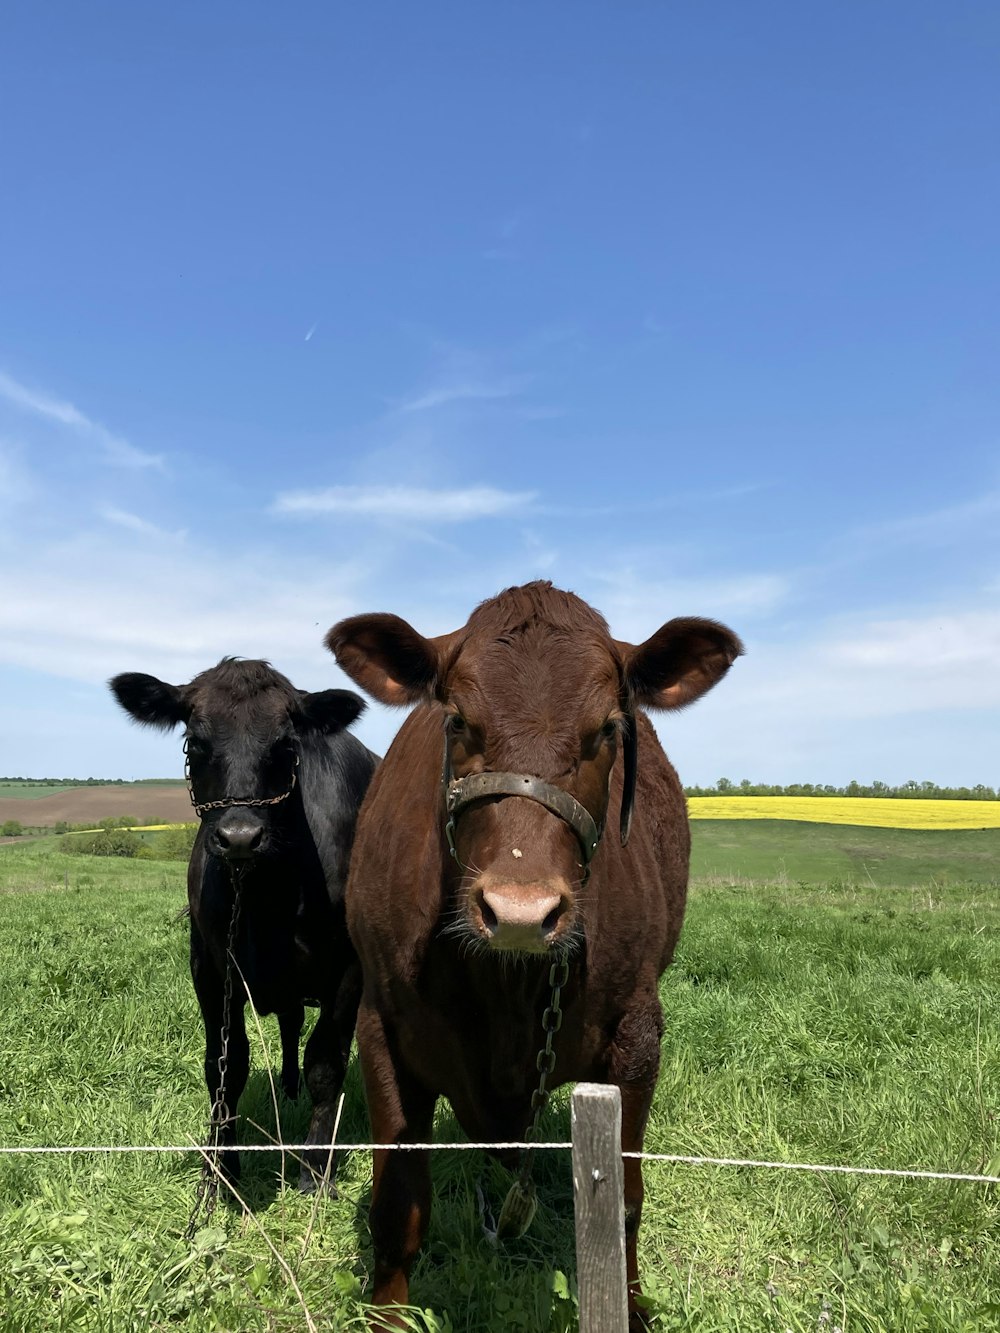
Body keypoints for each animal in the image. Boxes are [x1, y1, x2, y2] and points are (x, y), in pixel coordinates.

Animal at [108, 655, 376, 1189]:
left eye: (286, 745)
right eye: (195, 741)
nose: (239, 836)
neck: (265, 900)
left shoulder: (347, 969)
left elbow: (326, 1063)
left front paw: (315, 1169)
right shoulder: (209, 966)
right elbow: (224, 1067)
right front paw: (220, 1167)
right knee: (291, 1021)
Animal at [329, 581, 746, 1322]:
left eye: (608, 728)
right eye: (456, 720)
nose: (520, 912)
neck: (508, 991)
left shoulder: (639, 1035)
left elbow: (624, 1204)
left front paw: (631, 1305)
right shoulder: (381, 1025)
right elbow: (397, 1207)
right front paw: (387, 1317)